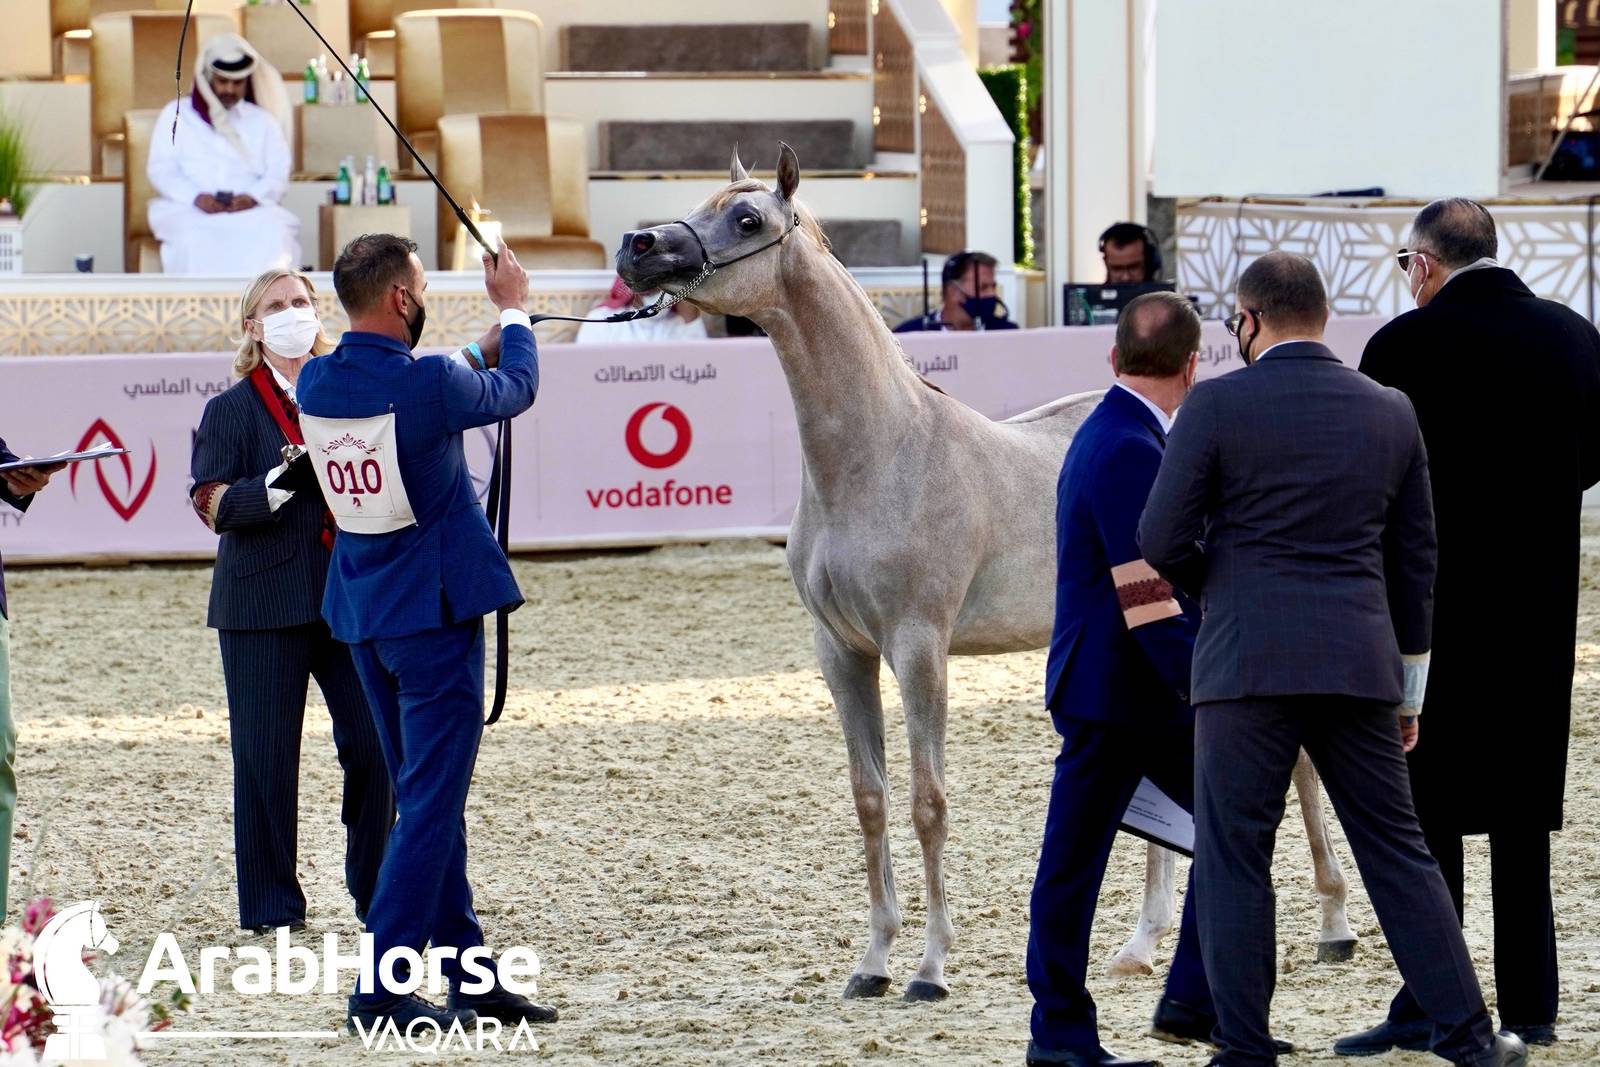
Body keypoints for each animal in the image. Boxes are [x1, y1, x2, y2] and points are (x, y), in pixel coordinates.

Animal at [616, 144, 1354, 1001]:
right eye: (702, 204)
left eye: (745, 219)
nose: (637, 246)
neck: (878, 455)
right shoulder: (841, 651)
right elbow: (870, 798)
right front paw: (873, 960)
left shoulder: (918, 647)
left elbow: (927, 802)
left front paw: (931, 967)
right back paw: (1141, 941)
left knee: (1296, 761)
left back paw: (1334, 925)